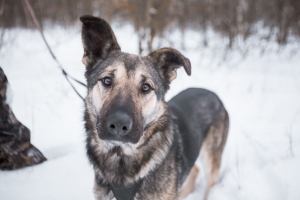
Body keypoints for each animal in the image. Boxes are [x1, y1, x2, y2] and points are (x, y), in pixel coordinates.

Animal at [80, 14, 230, 199]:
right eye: (107, 80)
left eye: (146, 87)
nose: (119, 124)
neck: (120, 157)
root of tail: (212, 94)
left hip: (211, 158)